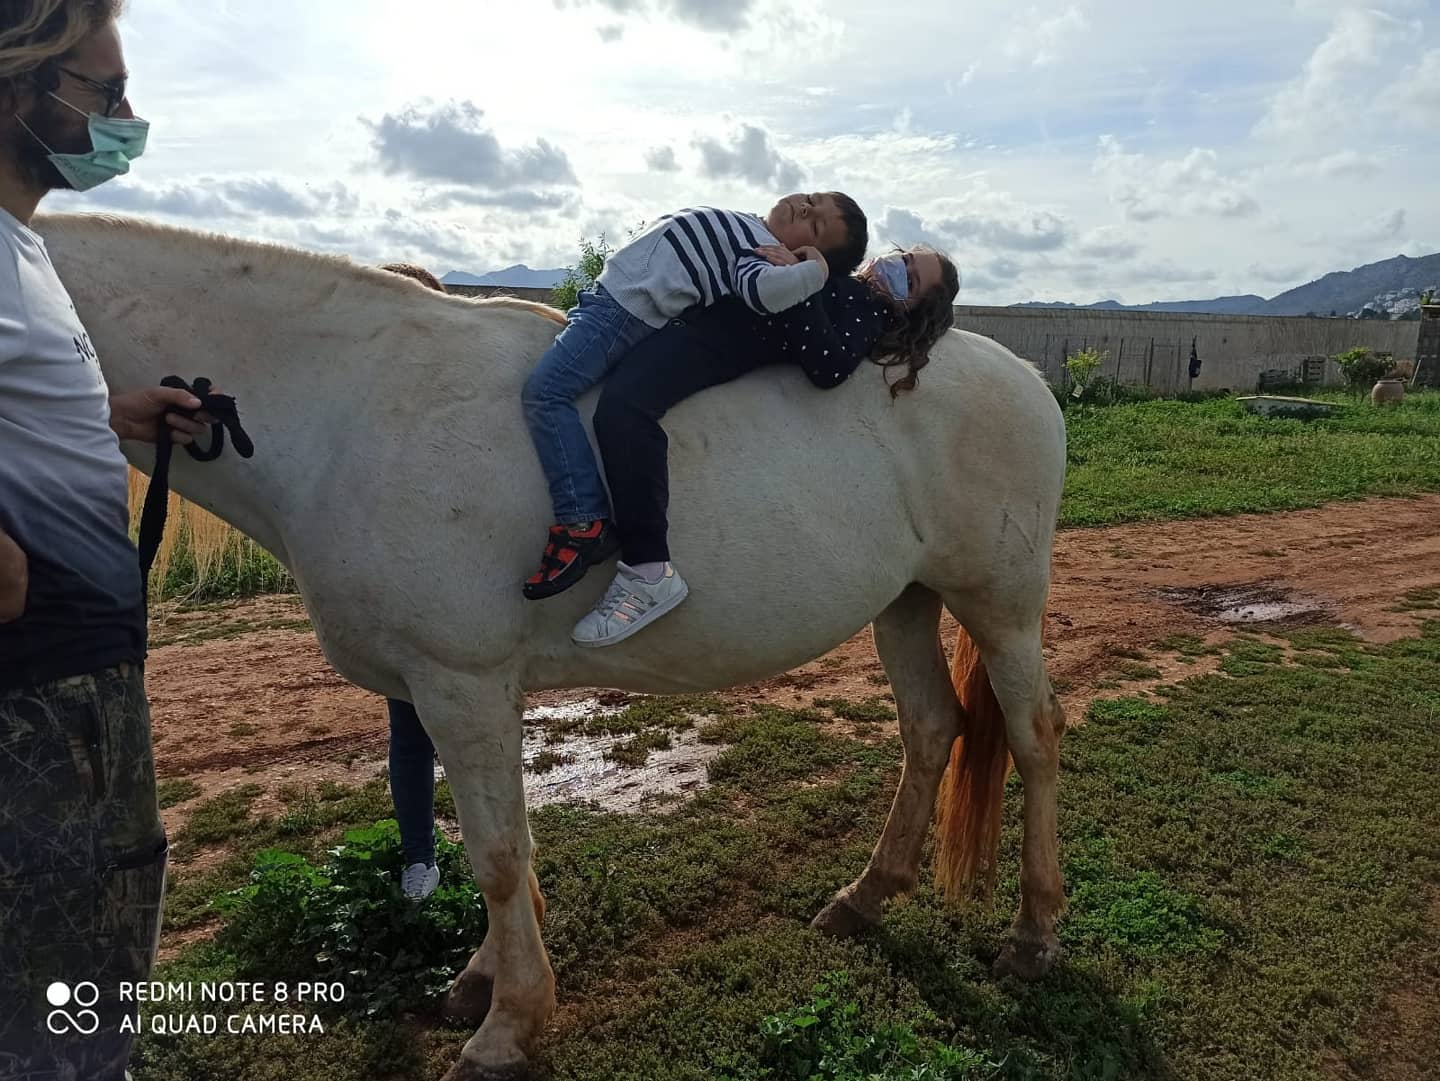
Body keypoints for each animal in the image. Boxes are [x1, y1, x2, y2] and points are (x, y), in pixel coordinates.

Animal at [41, 213, 1069, 1080]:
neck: (353, 404)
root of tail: (1029, 381)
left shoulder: (461, 682)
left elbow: (498, 852)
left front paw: (509, 1026)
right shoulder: (442, 689)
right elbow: (487, 844)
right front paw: (482, 980)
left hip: (1001, 605)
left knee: (1033, 736)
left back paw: (1033, 934)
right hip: (905, 602)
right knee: (931, 728)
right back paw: (866, 896)